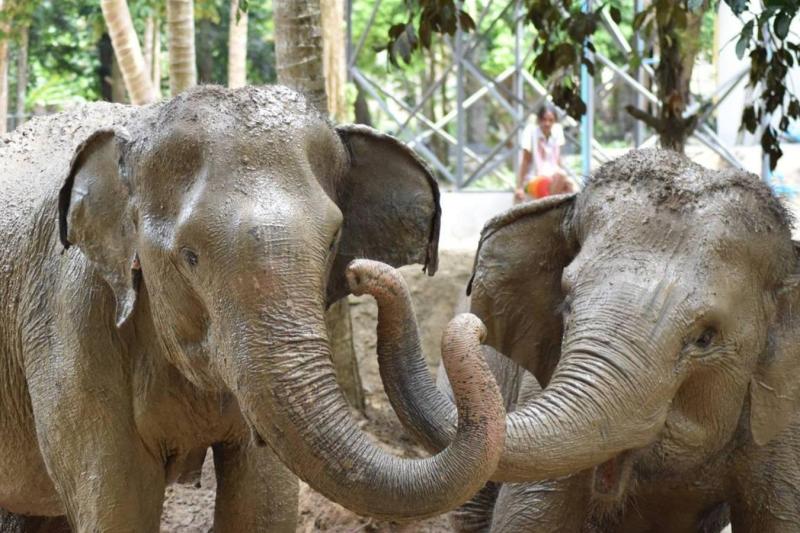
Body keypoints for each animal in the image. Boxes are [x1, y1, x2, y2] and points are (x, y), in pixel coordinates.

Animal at [0, 84, 507, 532]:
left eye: (333, 241)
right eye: (190, 257)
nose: (364, 272)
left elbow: (264, 502)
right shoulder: (70, 324)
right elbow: (119, 511)